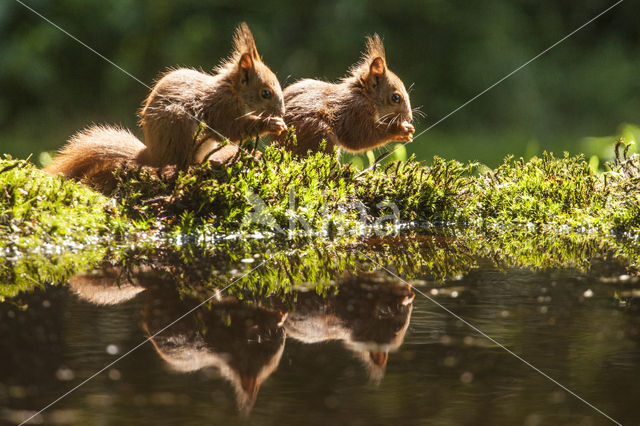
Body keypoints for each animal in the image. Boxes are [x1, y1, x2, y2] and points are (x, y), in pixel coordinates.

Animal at [43, 21, 284, 191]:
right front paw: (273, 124)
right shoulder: (222, 112)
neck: (233, 93)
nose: (281, 111)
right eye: (266, 93)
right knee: (181, 165)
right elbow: (235, 129)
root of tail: (152, 156)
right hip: (180, 127)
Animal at [276, 34, 416, 156]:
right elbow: (360, 136)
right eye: (396, 97)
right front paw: (400, 130)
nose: (409, 118)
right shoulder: (355, 111)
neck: (363, 94)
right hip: (319, 133)